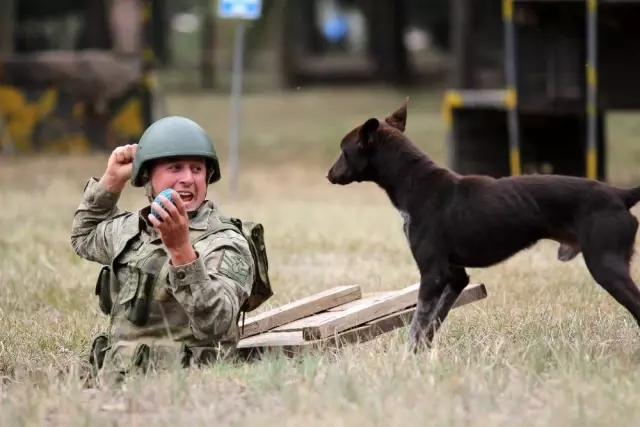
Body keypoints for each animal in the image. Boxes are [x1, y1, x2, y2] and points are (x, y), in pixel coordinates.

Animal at [328, 99, 640, 352]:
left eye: (344, 151)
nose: (328, 174)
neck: (417, 182)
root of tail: (620, 195)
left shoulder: (432, 274)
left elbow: (417, 325)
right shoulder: (455, 276)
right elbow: (431, 325)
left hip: (605, 265)